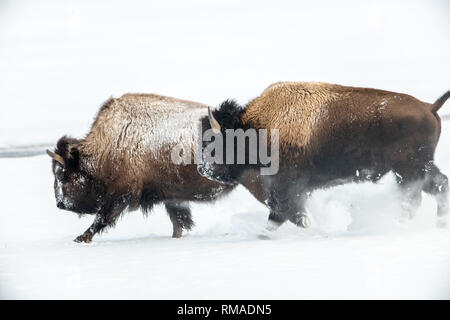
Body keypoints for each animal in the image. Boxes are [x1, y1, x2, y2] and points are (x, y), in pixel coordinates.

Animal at [47, 94, 239, 244]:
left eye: (62, 175)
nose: (60, 204)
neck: (108, 146)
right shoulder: (170, 197)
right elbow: (178, 221)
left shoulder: (120, 195)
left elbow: (102, 218)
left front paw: (80, 238)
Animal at [201, 81, 450, 229]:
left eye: (219, 142)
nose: (204, 170)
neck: (258, 127)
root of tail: (429, 107)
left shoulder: (287, 186)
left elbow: (281, 212)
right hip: (416, 168)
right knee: (438, 185)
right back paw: (437, 223)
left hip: (409, 169)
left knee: (415, 197)